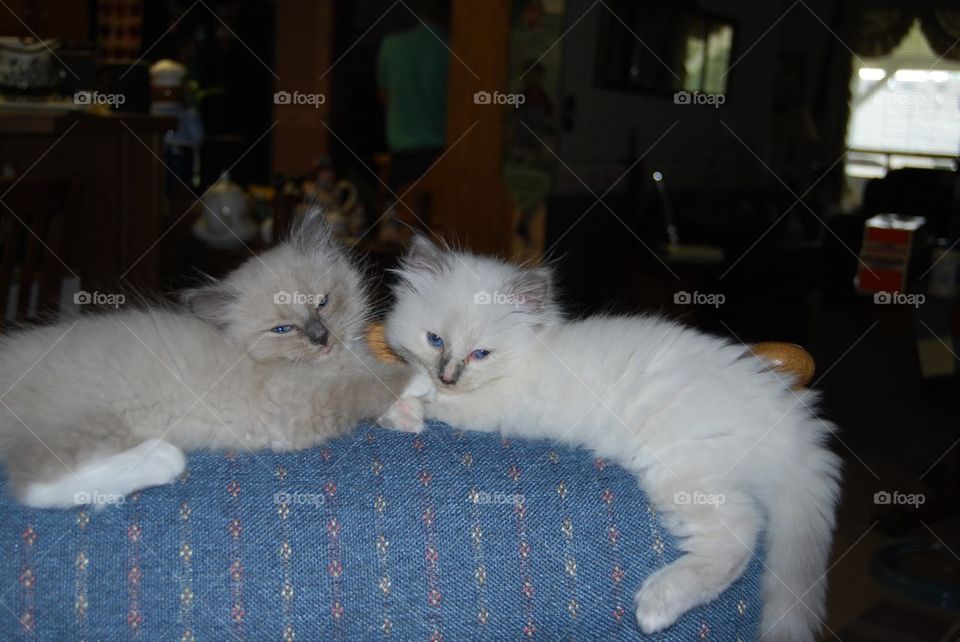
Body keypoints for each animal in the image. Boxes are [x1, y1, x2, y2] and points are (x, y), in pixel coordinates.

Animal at [0, 214, 428, 504]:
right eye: (282, 329)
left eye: (322, 302)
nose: (320, 337)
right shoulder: (300, 406)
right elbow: (367, 386)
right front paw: (420, 382)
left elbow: (370, 384)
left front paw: (407, 414)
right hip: (92, 422)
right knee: (35, 483)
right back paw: (163, 459)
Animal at [382, 238, 840, 640]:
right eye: (435, 340)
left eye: (481, 354)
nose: (448, 375)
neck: (534, 350)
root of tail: (794, 422)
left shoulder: (483, 408)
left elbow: (425, 398)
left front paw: (402, 409)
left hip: (681, 473)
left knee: (740, 538)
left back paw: (655, 606)